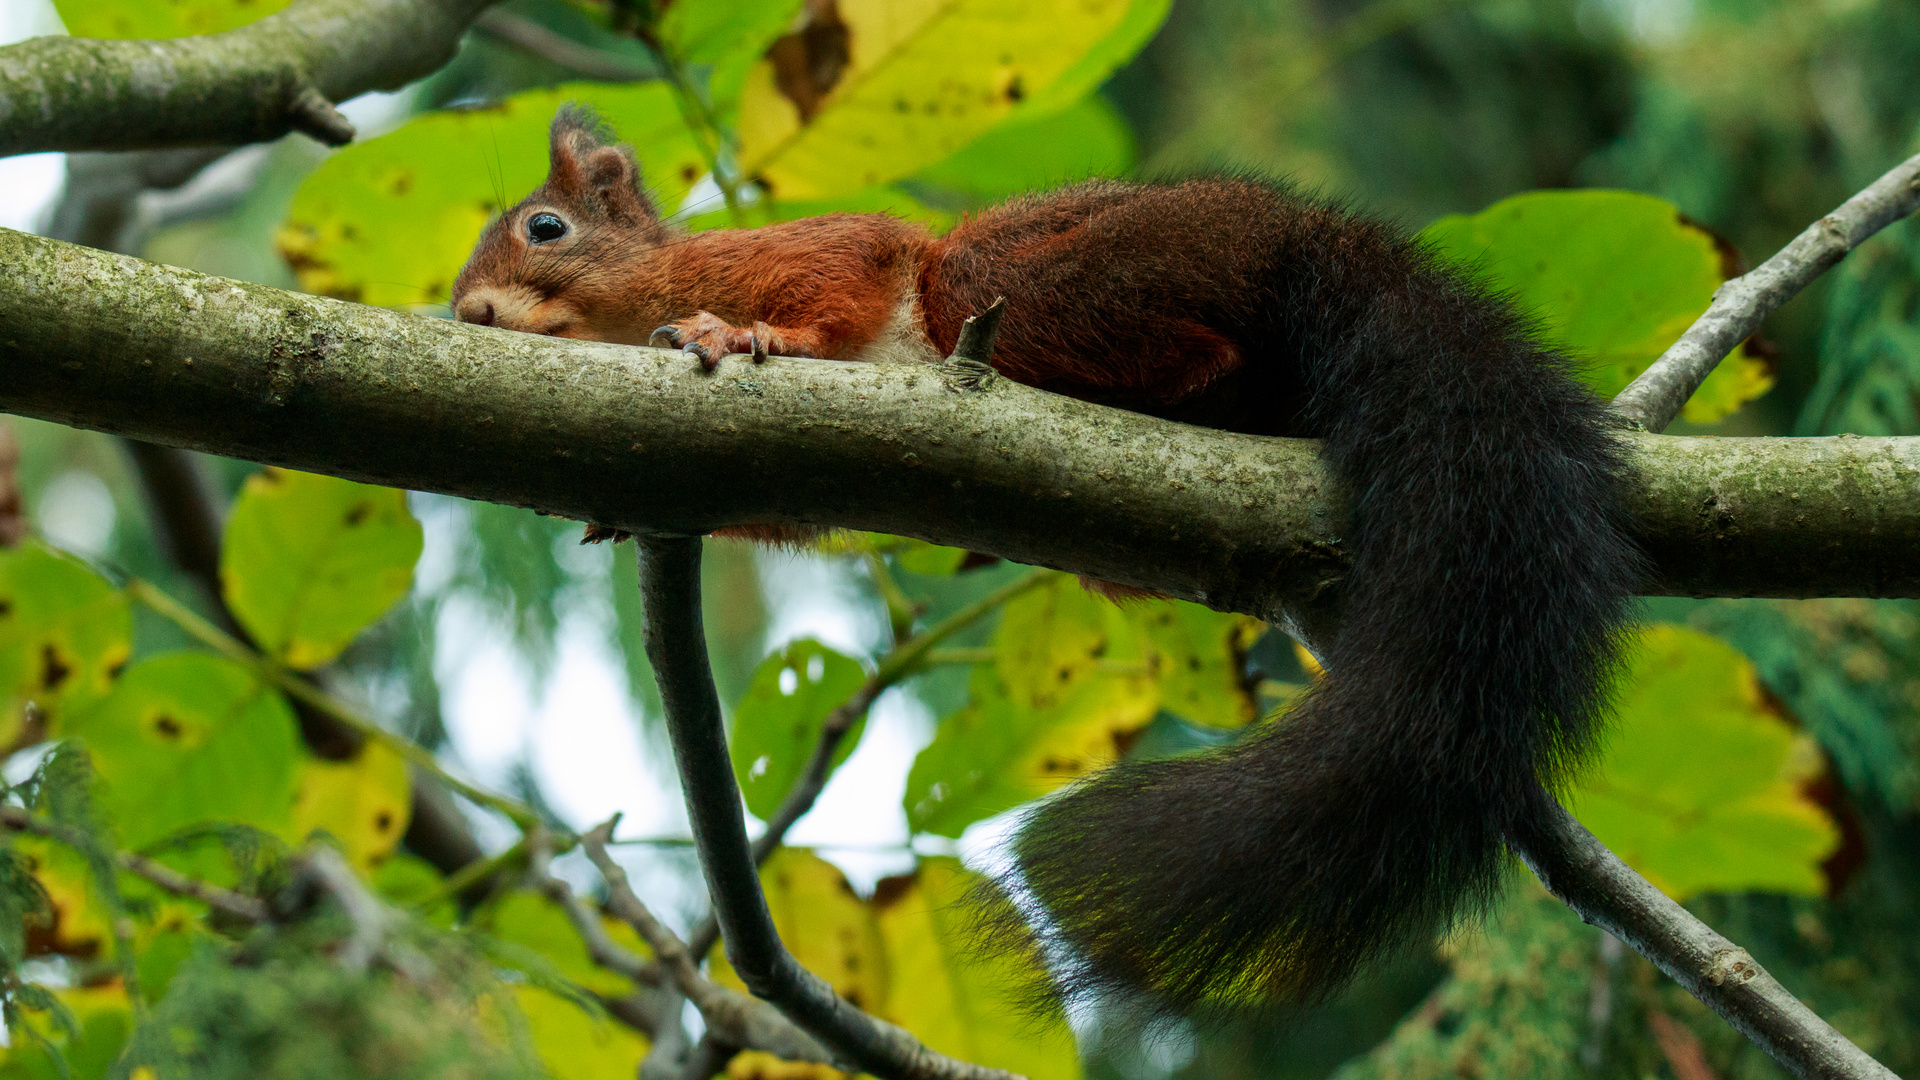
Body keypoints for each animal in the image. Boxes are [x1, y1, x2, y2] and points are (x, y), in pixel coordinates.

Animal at [453, 109, 1651, 1006]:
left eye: (546, 227)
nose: (465, 311)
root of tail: (1295, 230)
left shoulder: (806, 253)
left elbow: (840, 277)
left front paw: (745, 337)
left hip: (1040, 275)